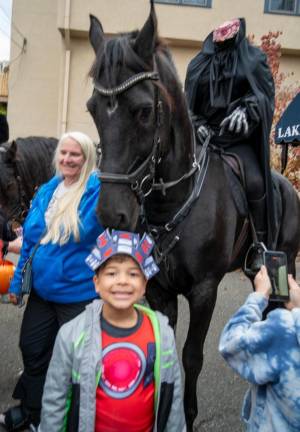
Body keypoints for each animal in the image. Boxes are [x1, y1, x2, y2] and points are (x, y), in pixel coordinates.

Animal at [86, 5, 300, 430]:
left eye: (144, 110)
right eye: (92, 109)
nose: (112, 212)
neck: (173, 201)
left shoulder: (204, 290)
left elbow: (191, 356)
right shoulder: (159, 291)